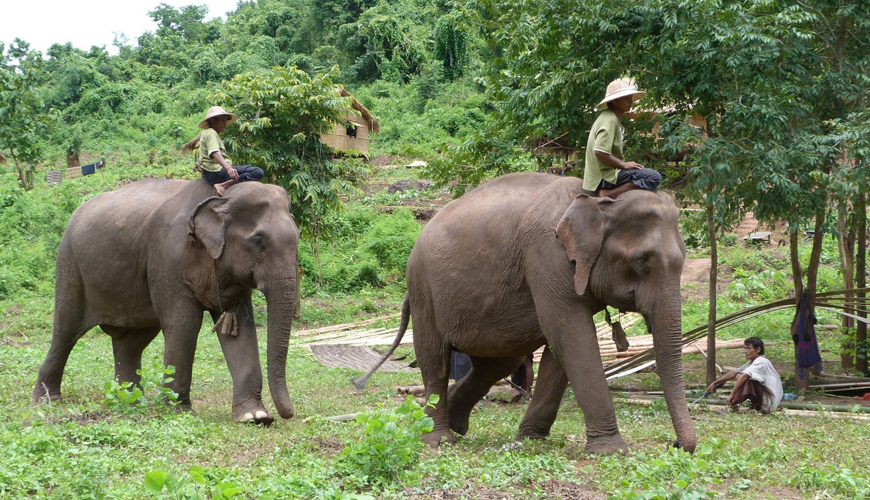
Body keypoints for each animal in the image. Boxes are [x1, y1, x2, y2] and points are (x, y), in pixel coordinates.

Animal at [31, 178, 299, 425]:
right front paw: (180, 413)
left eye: (298, 238)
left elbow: (238, 329)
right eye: (258, 242)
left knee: (132, 342)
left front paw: (255, 417)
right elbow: (184, 324)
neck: (221, 197)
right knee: (65, 332)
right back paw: (47, 400)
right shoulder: (167, 257)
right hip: (69, 265)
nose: (289, 413)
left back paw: (129, 401)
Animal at [355, 172, 695, 454]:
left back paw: (456, 424)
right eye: (644, 261)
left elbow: (561, 349)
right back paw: (439, 439)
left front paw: (530, 441)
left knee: (497, 363)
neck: (599, 199)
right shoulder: (547, 257)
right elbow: (572, 337)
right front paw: (613, 451)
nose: (676, 444)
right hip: (424, 289)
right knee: (436, 360)